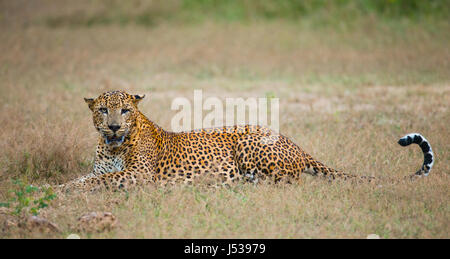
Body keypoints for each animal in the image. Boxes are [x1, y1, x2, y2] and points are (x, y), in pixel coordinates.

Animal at [59, 90, 432, 192]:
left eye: (125, 110)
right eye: (104, 110)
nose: (113, 127)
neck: (112, 146)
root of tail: (294, 142)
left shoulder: (138, 175)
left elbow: (100, 181)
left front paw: (60, 192)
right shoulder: (101, 169)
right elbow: (82, 179)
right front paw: (53, 189)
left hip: (251, 145)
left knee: (287, 183)